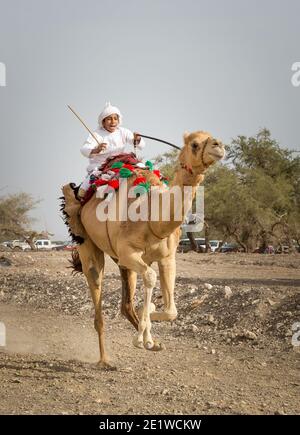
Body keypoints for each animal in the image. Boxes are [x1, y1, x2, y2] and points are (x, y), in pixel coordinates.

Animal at [62, 130, 223, 368]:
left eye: (211, 137)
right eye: (194, 144)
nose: (219, 146)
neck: (150, 214)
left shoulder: (167, 257)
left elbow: (171, 310)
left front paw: (149, 328)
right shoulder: (129, 252)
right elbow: (150, 277)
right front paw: (143, 337)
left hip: (122, 262)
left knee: (126, 302)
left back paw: (148, 337)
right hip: (86, 241)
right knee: (96, 287)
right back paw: (105, 360)